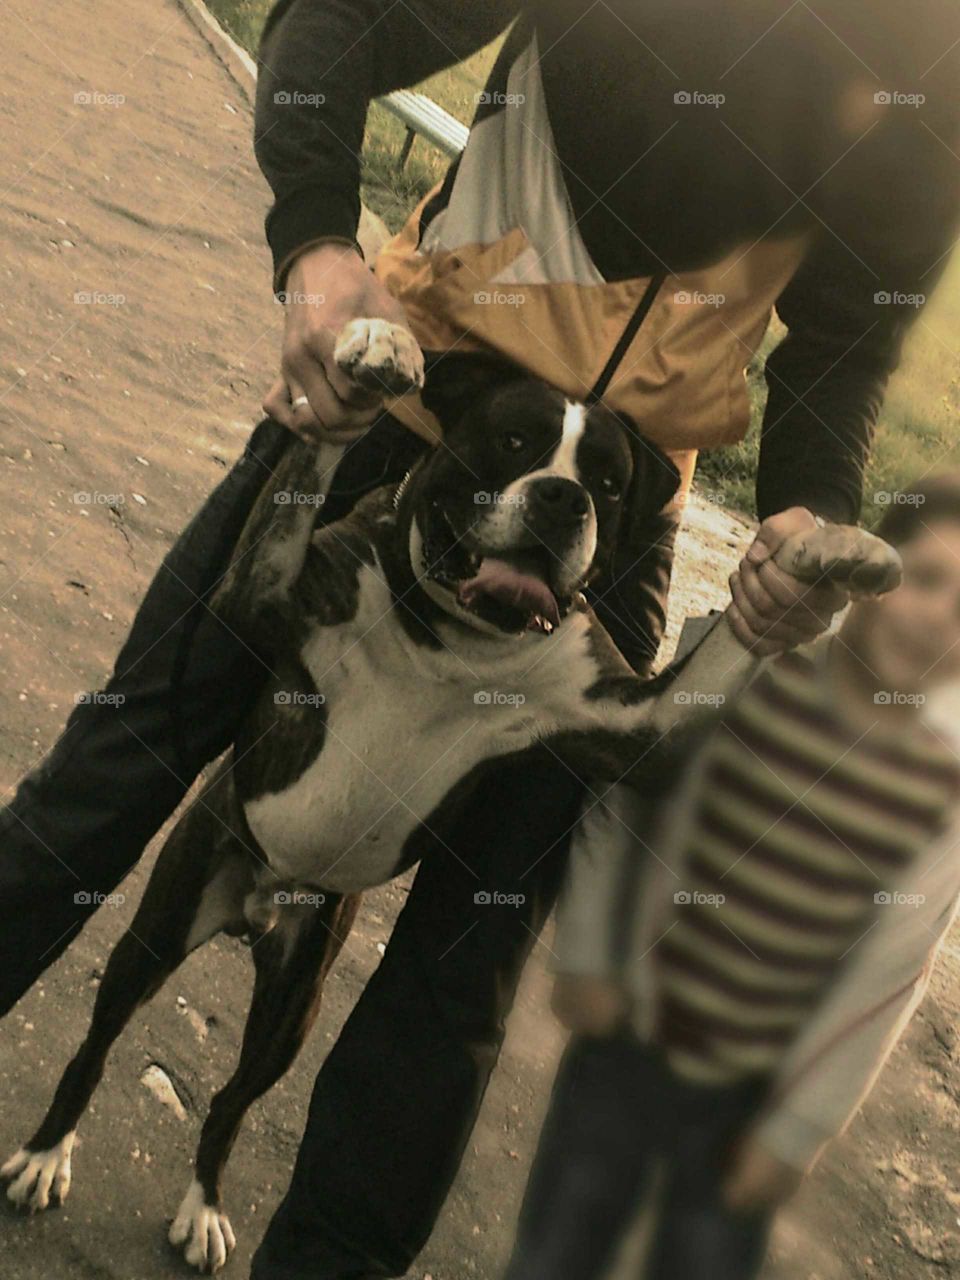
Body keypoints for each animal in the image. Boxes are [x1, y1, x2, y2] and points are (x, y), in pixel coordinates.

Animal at [1, 322, 901, 1269]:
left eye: (609, 483)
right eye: (513, 442)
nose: (561, 500)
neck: (452, 638)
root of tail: (254, 903)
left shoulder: (640, 725)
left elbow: (731, 651)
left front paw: (822, 558)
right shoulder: (259, 592)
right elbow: (312, 458)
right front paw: (372, 350)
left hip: (294, 1002)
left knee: (230, 1100)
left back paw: (203, 1205)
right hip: (160, 926)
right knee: (97, 1044)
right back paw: (46, 1153)